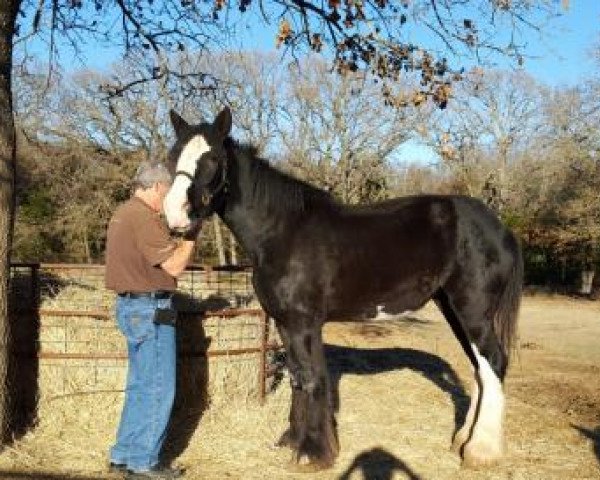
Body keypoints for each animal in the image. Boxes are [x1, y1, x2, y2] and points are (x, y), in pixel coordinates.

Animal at [162, 107, 524, 470]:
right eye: (172, 156)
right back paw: (462, 440)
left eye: (212, 158)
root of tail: (499, 229)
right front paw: (293, 440)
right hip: (452, 307)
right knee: (481, 367)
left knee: (493, 362)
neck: (282, 231)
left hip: (472, 309)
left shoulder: (304, 323)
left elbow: (311, 378)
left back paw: (481, 450)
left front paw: (314, 452)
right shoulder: (285, 322)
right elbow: (297, 376)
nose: (174, 215)